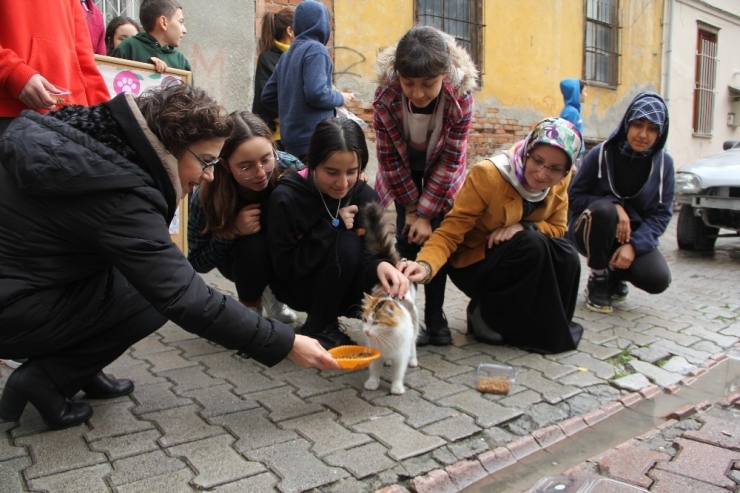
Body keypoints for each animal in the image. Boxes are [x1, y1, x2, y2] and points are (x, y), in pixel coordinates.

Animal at [360, 202, 420, 394]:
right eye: (365, 320)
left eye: (377, 322)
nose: (366, 332)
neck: (385, 338)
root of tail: (393, 267)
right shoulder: (375, 351)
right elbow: (375, 369)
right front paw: (372, 383)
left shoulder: (400, 355)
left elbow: (398, 372)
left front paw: (396, 388)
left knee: (414, 343)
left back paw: (413, 360)